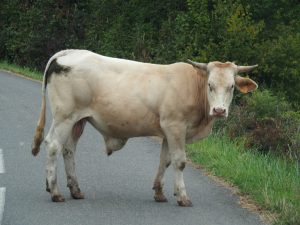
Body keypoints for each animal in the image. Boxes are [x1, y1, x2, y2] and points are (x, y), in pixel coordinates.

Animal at [32, 49, 258, 206]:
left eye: (231, 87)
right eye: (210, 85)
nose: (219, 110)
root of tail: (69, 52)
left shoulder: (168, 131)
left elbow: (165, 160)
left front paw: (159, 192)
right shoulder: (175, 127)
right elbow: (179, 162)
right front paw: (183, 197)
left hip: (78, 121)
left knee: (68, 150)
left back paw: (75, 189)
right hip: (64, 117)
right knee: (53, 145)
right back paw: (55, 192)